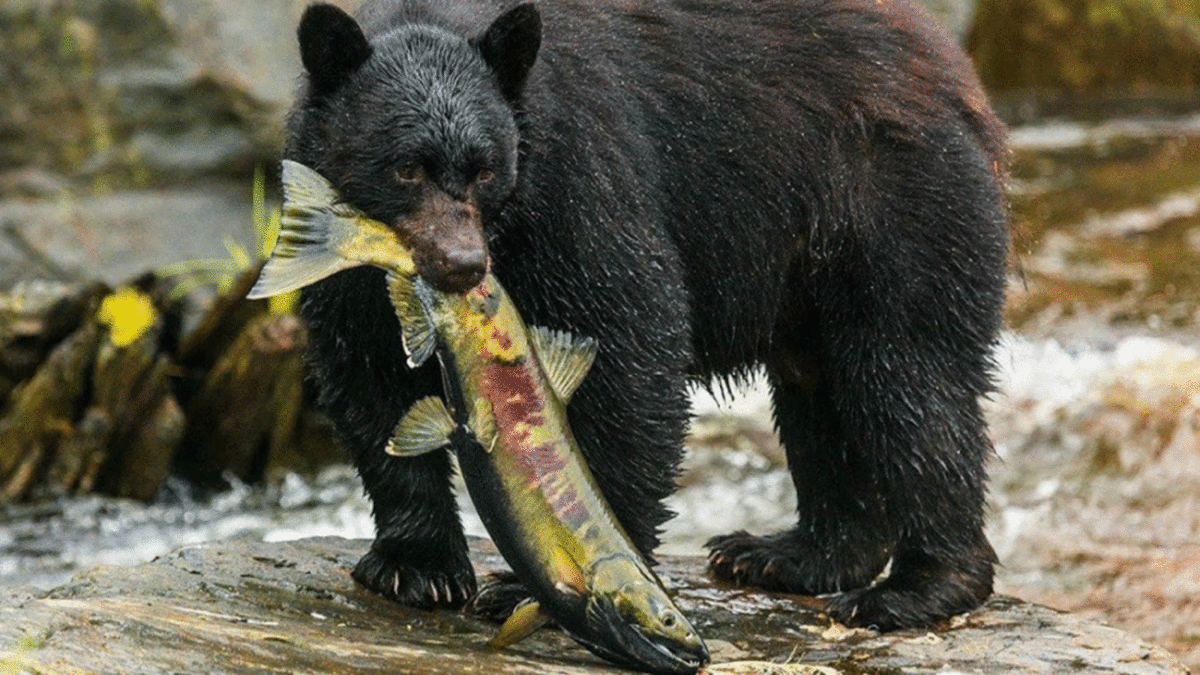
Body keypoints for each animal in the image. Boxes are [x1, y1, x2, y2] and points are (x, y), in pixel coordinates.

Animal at [285, 0, 1008, 629]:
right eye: (406, 168)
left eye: (485, 168)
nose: (462, 263)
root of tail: (959, 73)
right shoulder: (336, 236)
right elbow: (367, 371)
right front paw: (418, 567)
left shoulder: (576, 174)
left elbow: (627, 340)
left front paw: (559, 573)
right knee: (819, 392)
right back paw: (791, 554)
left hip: (889, 201)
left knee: (909, 380)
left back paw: (917, 586)